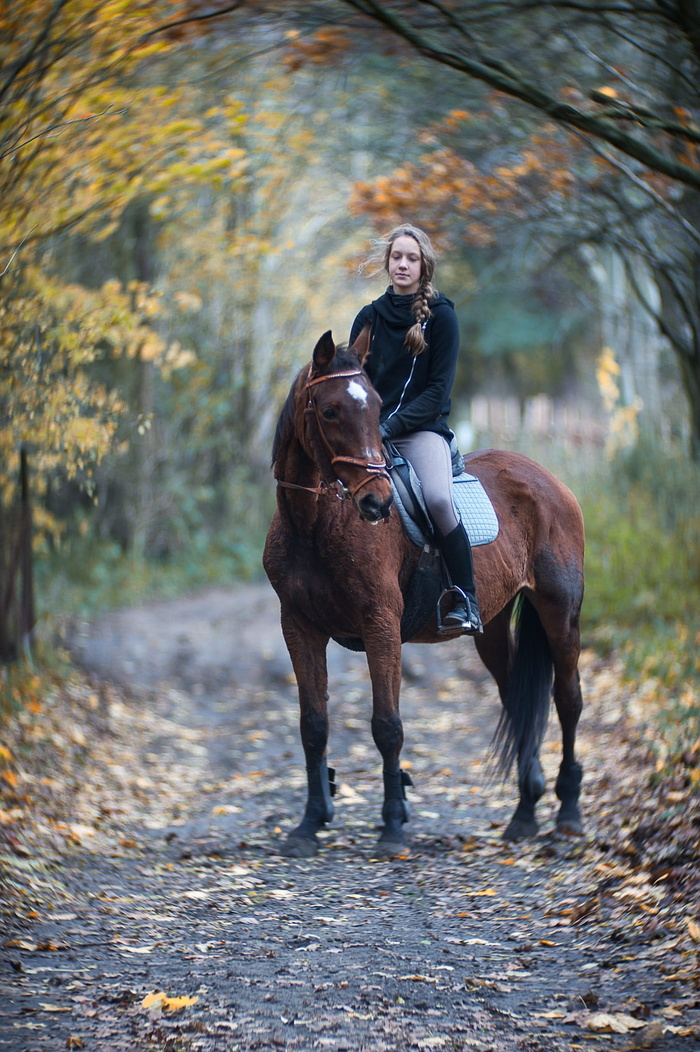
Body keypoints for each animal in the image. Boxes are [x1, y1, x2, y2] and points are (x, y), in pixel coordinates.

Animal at [262, 326, 585, 854]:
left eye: (376, 405)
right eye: (329, 411)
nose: (377, 503)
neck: (316, 523)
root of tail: (547, 479)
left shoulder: (381, 626)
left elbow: (387, 727)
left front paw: (393, 825)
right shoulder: (299, 626)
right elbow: (313, 726)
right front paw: (309, 823)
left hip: (560, 610)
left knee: (569, 699)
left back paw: (569, 811)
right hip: (492, 625)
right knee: (517, 700)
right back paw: (524, 813)